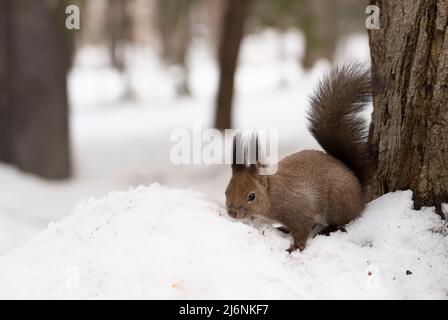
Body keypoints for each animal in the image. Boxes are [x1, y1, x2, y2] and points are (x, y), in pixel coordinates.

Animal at [226, 63, 376, 252]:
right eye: (226, 192)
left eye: (251, 196)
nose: (232, 213)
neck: (273, 194)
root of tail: (359, 196)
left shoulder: (298, 210)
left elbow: (302, 229)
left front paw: (295, 248)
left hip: (338, 198)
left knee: (344, 220)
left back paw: (329, 228)